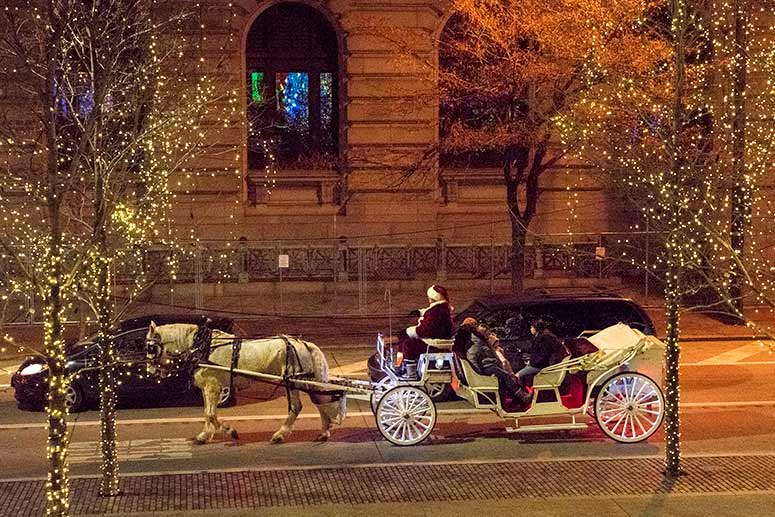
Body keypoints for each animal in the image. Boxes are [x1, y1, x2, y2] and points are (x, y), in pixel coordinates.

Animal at [148, 320, 346, 442]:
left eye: (150, 347)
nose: (151, 372)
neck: (203, 347)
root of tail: (302, 343)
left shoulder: (213, 386)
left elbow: (211, 414)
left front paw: (230, 431)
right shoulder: (206, 387)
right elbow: (207, 413)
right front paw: (205, 435)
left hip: (293, 382)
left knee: (298, 407)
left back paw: (280, 434)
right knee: (320, 401)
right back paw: (323, 432)